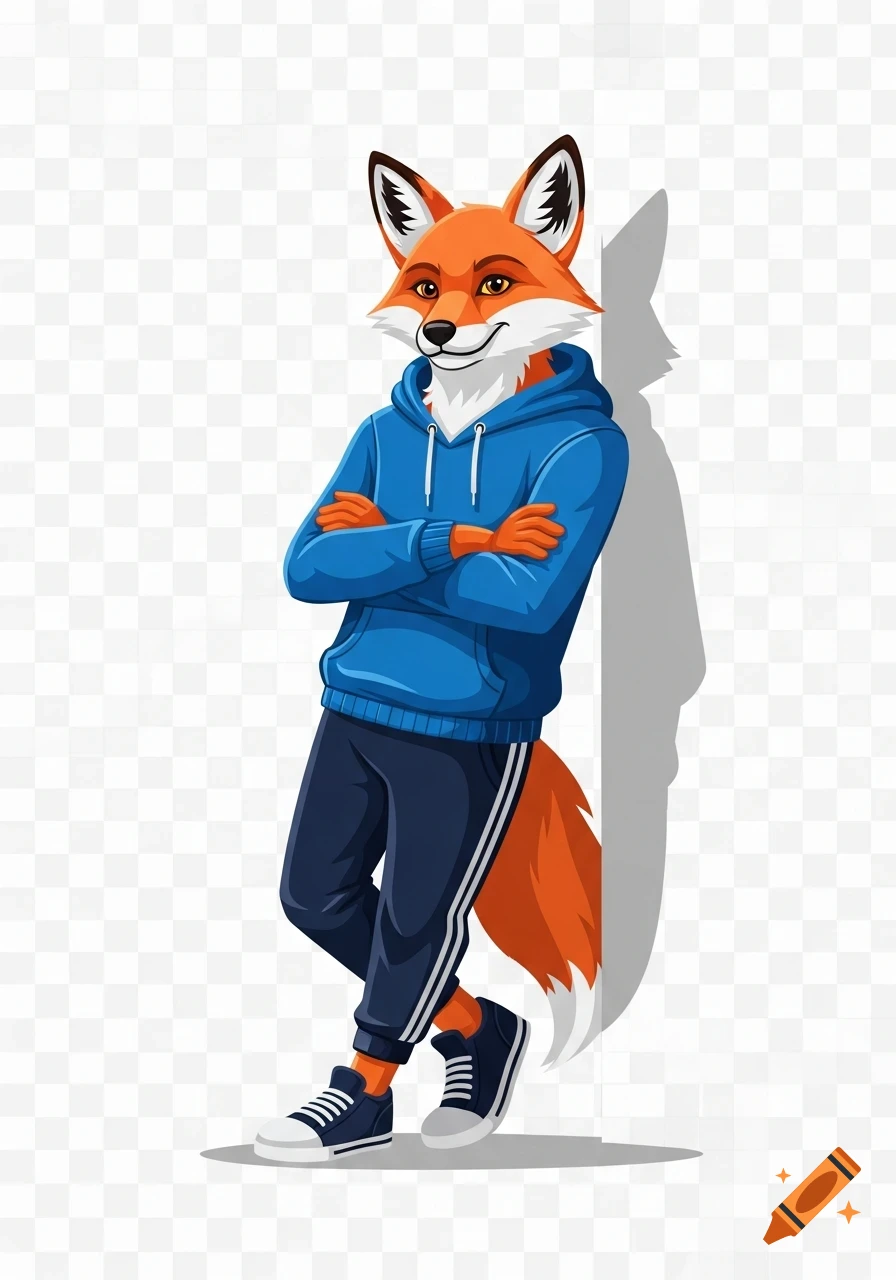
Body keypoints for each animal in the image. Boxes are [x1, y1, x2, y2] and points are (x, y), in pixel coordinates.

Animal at [255, 136, 628, 1163]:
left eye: (496, 280)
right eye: (424, 285)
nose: (437, 336)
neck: (466, 416)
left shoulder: (602, 453)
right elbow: (325, 542)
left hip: (447, 808)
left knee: (417, 934)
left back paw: (438, 1086)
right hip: (350, 786)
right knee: (336, 905)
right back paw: (470, 1055)